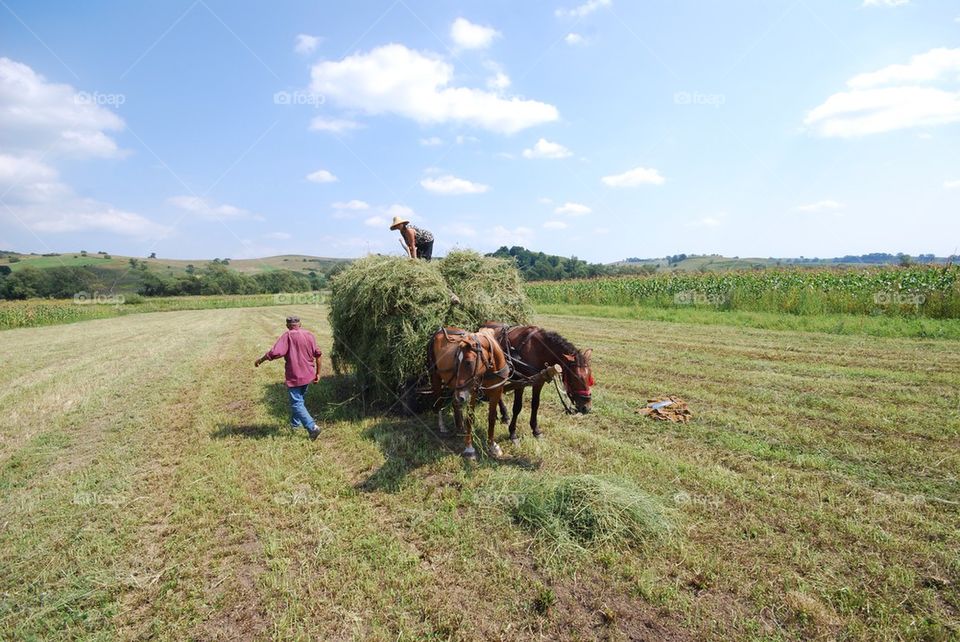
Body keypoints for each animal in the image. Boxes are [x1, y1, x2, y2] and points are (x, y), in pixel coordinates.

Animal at [428, 328, 510, 458]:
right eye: (457, 360)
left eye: (469, 362)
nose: (461, 396)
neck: (490, 370)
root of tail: (439, 331)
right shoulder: (472, 392)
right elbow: (470, 418)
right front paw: (469, 448)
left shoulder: (497, 391)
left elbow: (491, 417)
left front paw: (492, 445)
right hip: (436, 376)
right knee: (439, 400)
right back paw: (442, 427)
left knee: (455, 402)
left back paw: (460, 426)